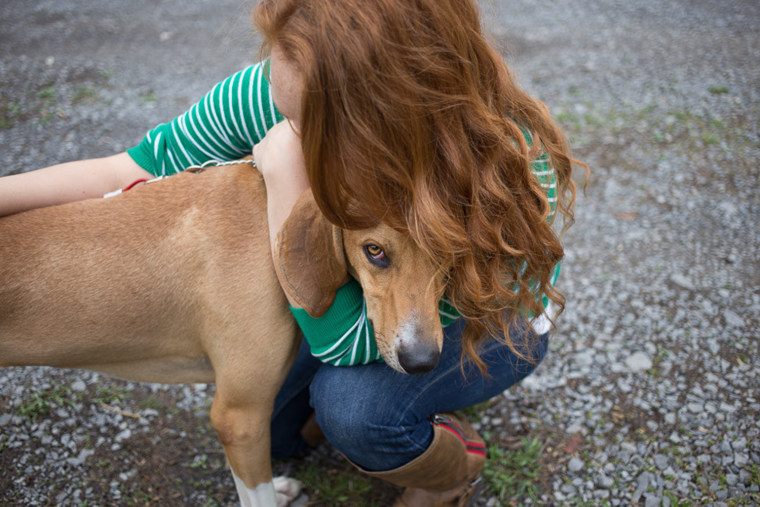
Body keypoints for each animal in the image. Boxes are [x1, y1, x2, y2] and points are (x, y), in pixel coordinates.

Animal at [0, 163, 446, 507]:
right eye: (374, 251)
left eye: (449, 253)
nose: (422, 362)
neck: (268, 216)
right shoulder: (239, 417)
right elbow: (257, 496)